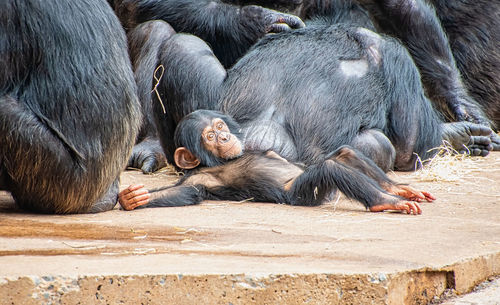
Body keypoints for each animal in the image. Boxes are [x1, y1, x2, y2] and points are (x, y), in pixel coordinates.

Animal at [119, 109, 436, 214]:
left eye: (220, 127)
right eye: (209, 136)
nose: (224, 137)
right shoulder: (201, 177)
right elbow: (188, 191)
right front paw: (132, 198)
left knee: (345, 153)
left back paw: (399, 190)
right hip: (307, 194)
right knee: (330, 168)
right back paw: (387, 202)